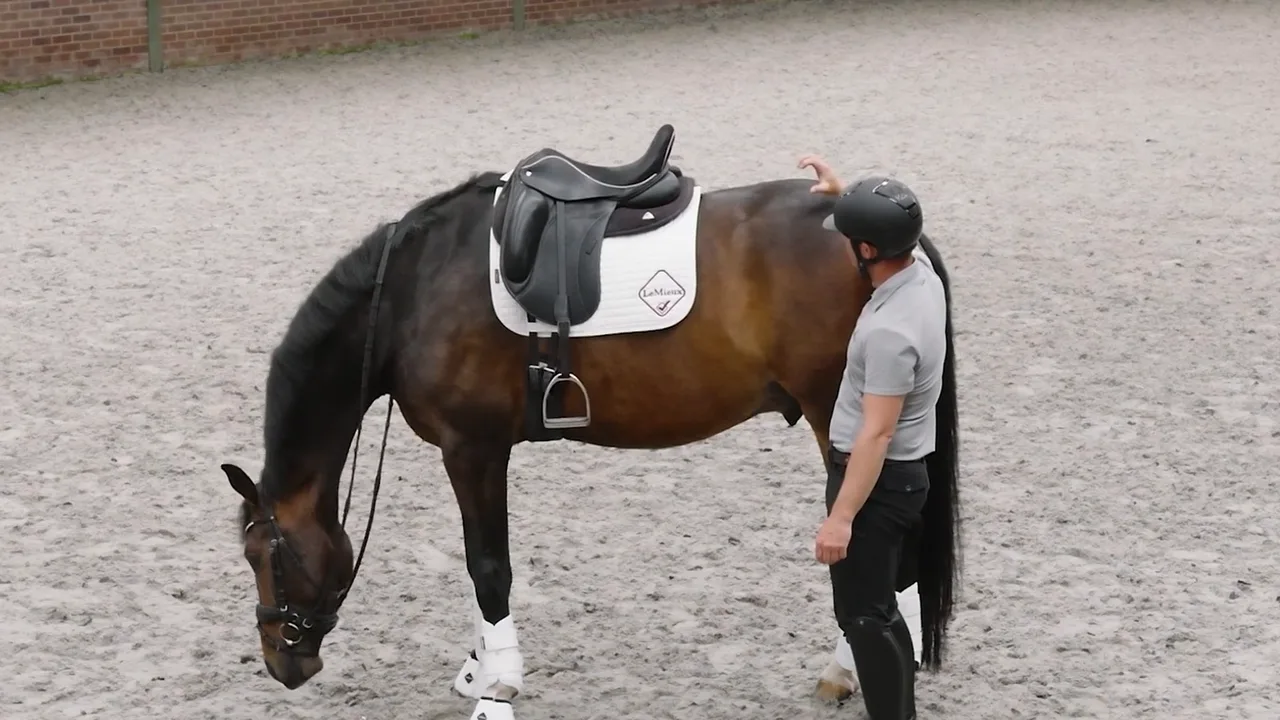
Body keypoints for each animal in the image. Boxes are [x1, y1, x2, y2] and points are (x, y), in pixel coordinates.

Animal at [220, 125, 961, 720]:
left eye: (261, 556)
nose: (281, 662)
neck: (409, 292)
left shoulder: (473, 448)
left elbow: (488, 566)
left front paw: (498, 686)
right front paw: (478, 669)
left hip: (841, 419)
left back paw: (845, 670)